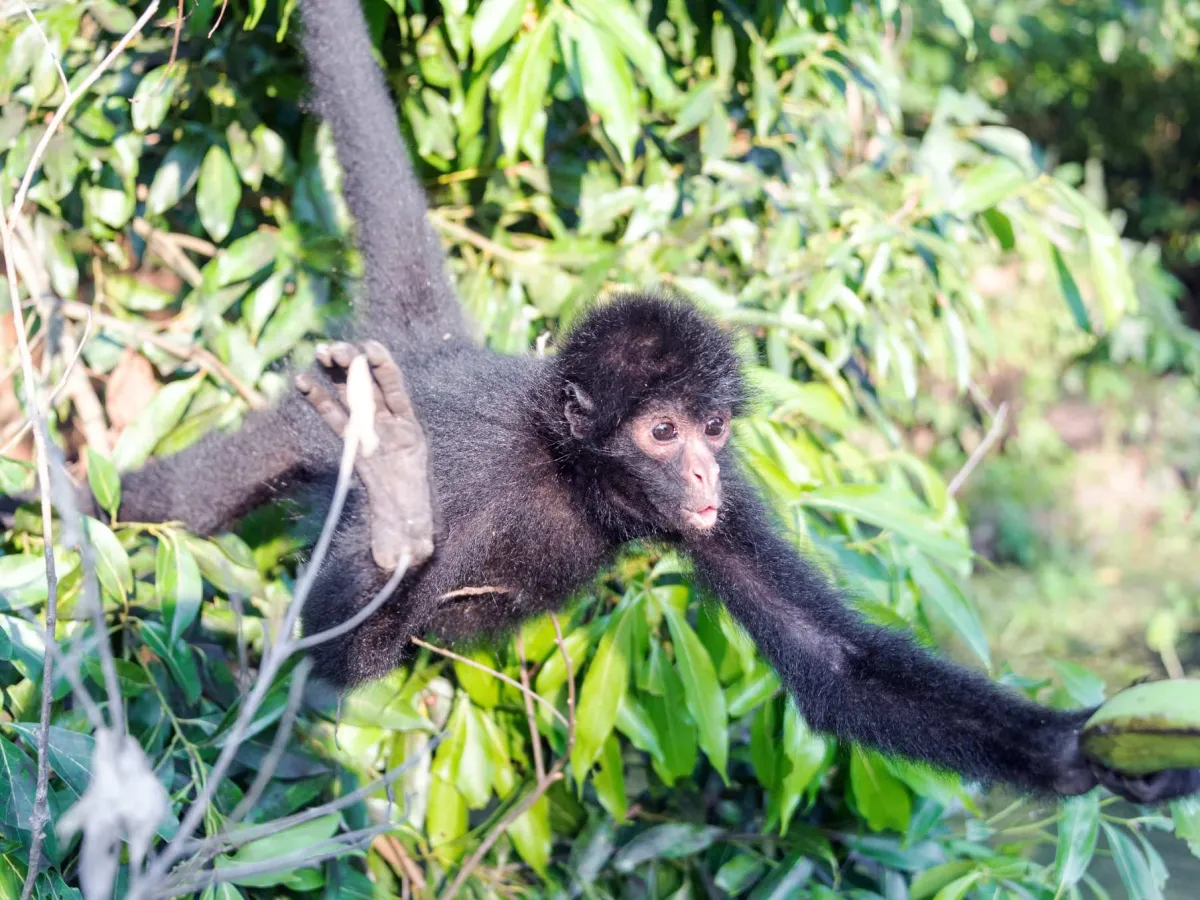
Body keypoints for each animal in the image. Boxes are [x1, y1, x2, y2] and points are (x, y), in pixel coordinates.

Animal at [46, 0, 1200, 806]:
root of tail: (437, 353)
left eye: (711, 431)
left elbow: (840, 664)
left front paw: (1091, 754)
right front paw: (400, 512)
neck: (562, 470)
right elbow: (316, 659)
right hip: (302, 422)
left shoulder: (726, 499)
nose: (693, 466)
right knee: (171, 507)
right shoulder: (477, 470)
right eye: (659, 430)